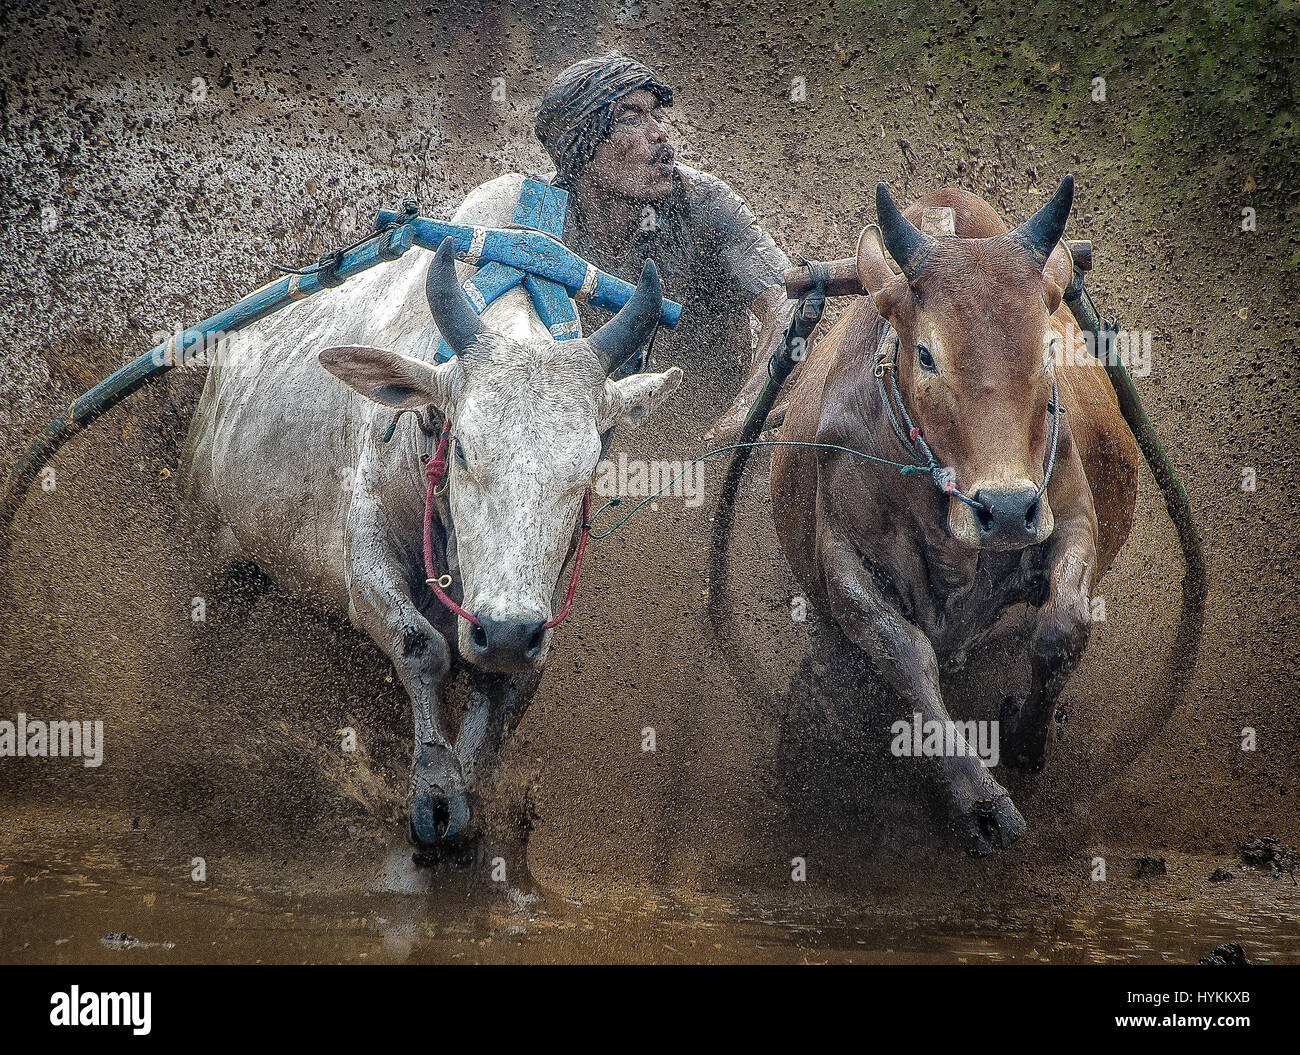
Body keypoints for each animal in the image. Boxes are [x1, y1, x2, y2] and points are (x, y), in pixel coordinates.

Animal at [187, 175, 686, 857]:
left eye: (590, 463)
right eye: (465, 448)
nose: (506, 631)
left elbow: (503, 681)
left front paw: (465, 794)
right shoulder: (366, 552)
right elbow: (420, 646)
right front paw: (433, 791)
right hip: (211, 544)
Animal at [769, 176, 1138, 857]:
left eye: (1046, 347)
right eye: (926, 354)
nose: (1007, 511)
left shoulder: (1070, 511)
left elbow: (1064, 626)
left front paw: (1025, 737)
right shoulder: (843, 560)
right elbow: (908, 655)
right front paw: (981, 800)